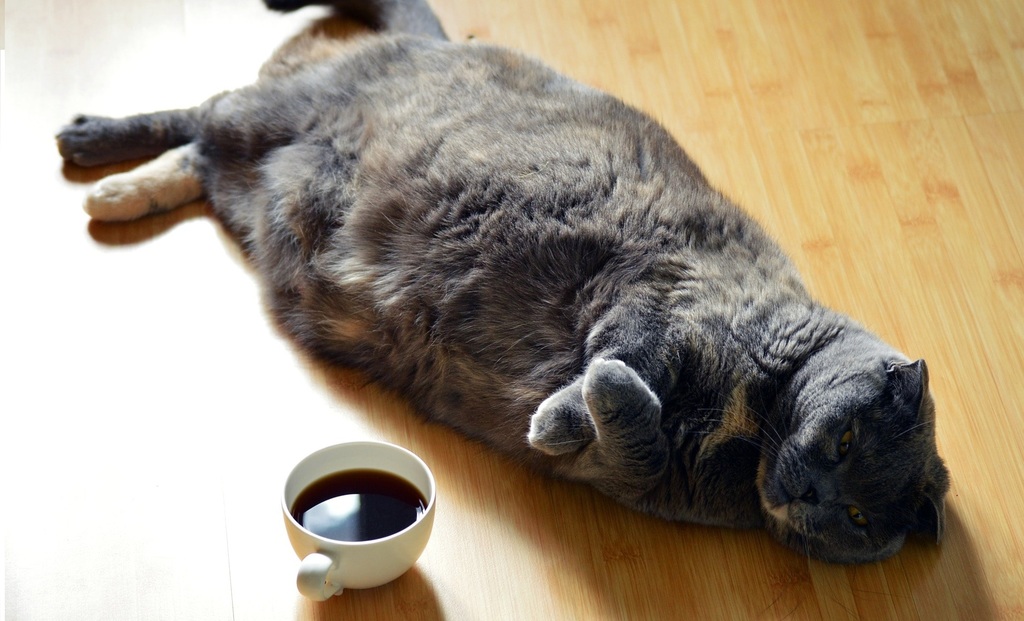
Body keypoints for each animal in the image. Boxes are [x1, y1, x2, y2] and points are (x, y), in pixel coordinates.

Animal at [58, 0, 950, 565]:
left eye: (859, 513)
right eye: (844, 439)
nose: (810, 491)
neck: (748, 425)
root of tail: (444, 42)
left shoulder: (639, 476)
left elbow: (634, 429)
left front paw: (582, 411)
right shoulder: (659, 290)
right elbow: (631, 359)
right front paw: (569, 409)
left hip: (263, 185)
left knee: (203, 158)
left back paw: (120, 193)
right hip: (283, 107)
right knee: (200, 113)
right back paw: (91, 146)